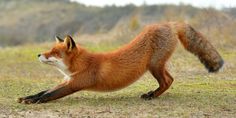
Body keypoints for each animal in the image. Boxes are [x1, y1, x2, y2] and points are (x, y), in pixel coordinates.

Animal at [17, 21, 223, 103]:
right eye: (49, 50)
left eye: (53, 52)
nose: (38, 54)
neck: (79, 65)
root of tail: (169, 23)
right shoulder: (67, 81)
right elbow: (43, 91)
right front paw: (27, 97)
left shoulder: (75, 83)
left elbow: (49, 95)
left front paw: (33, 102)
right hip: (157, 66)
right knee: (170, 79)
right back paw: (152, 94)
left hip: (154, 66)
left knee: (167, 81)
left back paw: (151, 96)